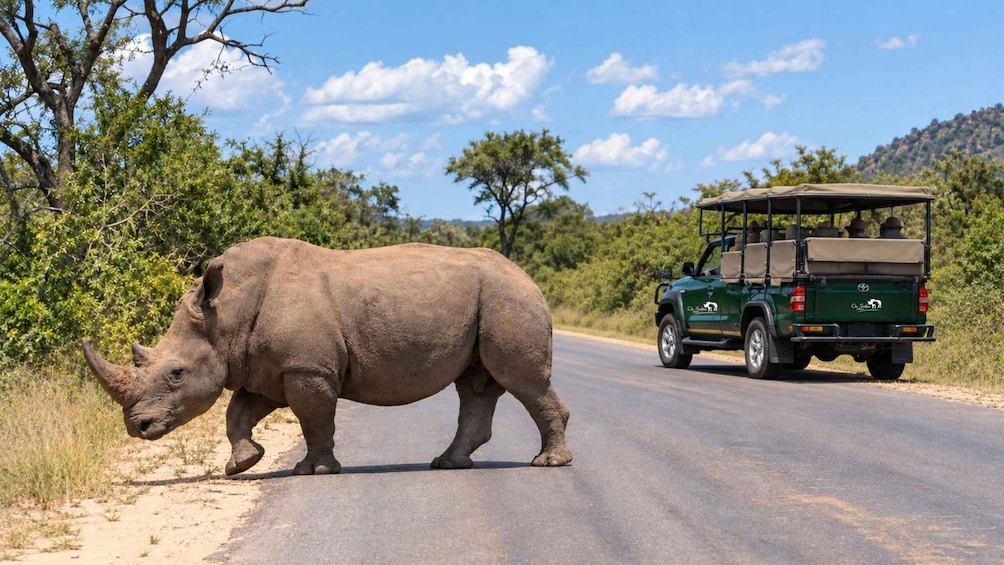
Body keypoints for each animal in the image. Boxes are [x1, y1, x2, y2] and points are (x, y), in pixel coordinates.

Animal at [82, 237, 572, 475]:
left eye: (177, 373)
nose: (137, 427)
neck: (225, 315)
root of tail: (526, 275)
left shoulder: (306, 367)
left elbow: (314, 419)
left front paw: (314, 470)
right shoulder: (268, 368)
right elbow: (237, 413)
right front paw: (243, 464)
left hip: (509, 298)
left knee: (521, 381)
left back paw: (549, 464)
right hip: (494, 299)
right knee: (476, 385)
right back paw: (447, 464)